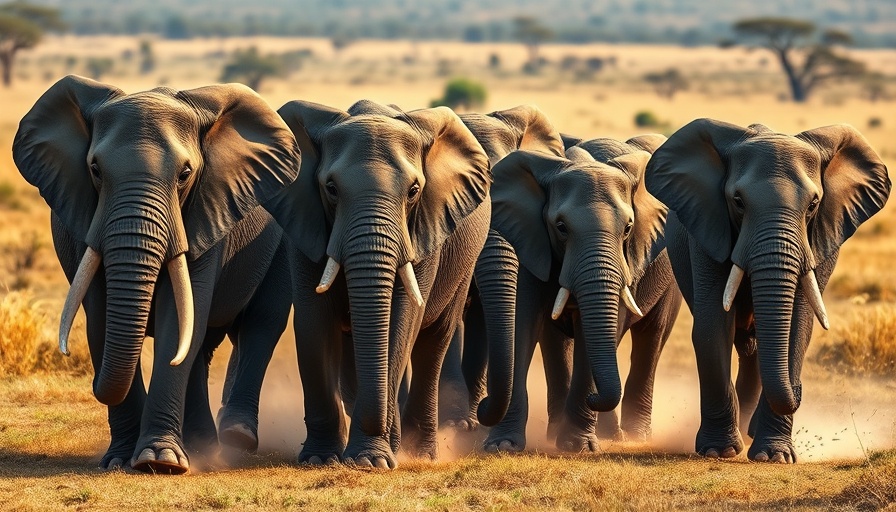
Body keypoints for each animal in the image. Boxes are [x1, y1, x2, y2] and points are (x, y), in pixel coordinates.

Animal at [13, 74, 300, 474]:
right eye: (95, 170)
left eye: (185, 175)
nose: (69, 356)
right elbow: (101, 317)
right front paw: (121, 460)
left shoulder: (203, 213)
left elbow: (174, 321)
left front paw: (160, 461)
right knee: (199, 348)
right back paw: (202, 446)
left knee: (263, 320)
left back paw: (233, 439)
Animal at [262, 99, 494, 468]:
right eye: (331, 189)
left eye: (414, 191)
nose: (377, 423)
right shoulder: (304, 222)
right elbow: (314, 321)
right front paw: (320, 459)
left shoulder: (423, 229)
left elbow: (401, 320)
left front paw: (369, 461)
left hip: (465, 261)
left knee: (433, 343)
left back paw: (419, 452)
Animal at [476, 136, 680, 452]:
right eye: (561, 227)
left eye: (628, 228)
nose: (481, 406)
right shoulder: (534, 242)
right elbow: (523, 322)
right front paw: (502, 446)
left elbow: (593, 332)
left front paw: (579, 446)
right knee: (557, 341)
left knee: (651, 337)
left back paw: (631, 436)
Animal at [644, 118, 888, 462]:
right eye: (738, 202)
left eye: (814, 204)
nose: (798, 391)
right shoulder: (707, 226)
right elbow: (712, 323)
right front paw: (718, 451)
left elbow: (798, 327)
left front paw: (774, 456)